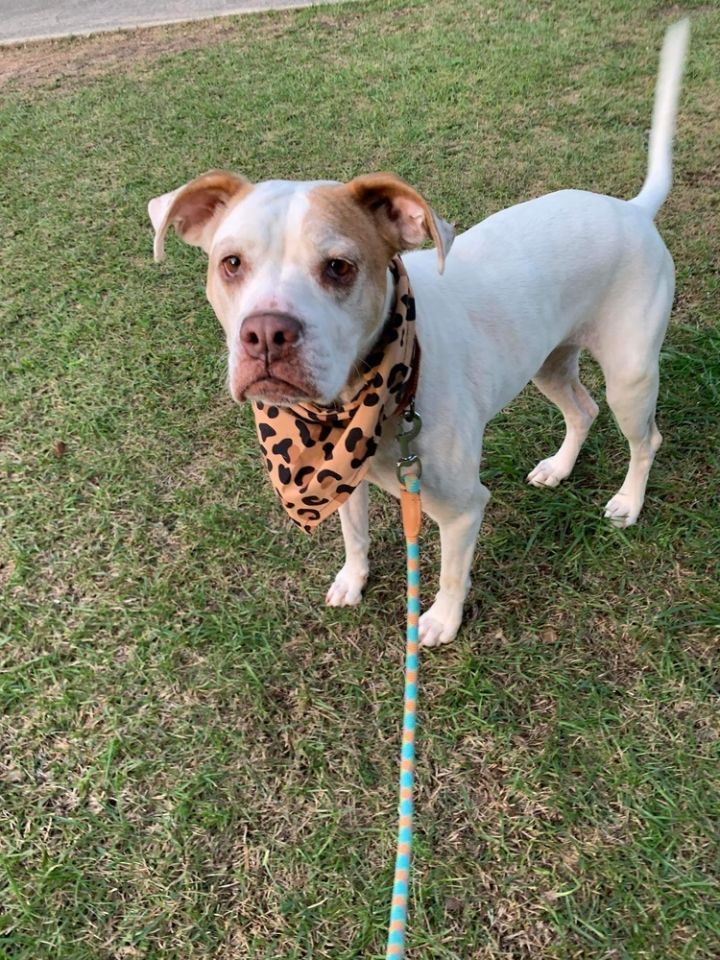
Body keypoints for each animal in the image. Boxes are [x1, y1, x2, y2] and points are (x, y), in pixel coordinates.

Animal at [149, 20, 688, 644]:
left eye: (340, 267)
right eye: (230, 263)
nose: (264, 334)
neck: (365, 398)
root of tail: (632, 210)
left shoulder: (461, 507)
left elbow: (452, 572)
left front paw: (438, 623)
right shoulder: (342, 476)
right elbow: (355, 535)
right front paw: (352, 581)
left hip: (630, 373)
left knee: (645, 439)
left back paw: (627, 501)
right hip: (550, 361)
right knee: (582, 409)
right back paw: (558, 467)